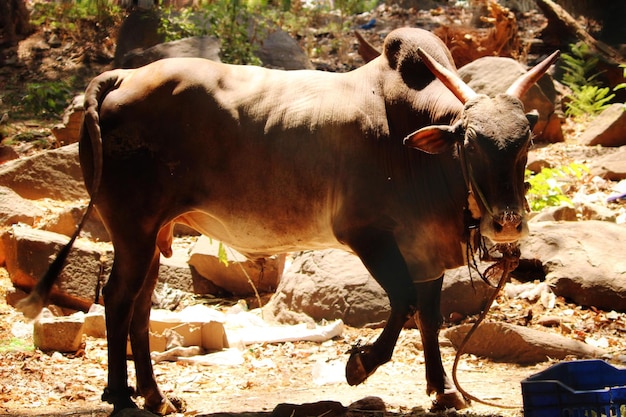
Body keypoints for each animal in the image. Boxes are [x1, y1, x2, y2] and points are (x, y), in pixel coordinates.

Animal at [18, 27, 556, 414]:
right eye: (470, 142)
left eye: (525, 143)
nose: (508, 224)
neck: (417, 144)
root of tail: (121, 78)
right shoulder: (369, 236)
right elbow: (404, 303)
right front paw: (360, 365)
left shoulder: (424, 249)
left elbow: (428, 315)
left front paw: (442, 391)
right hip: (131, 227)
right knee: (116, 299)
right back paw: (121, 397)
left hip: (153, 235)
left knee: (140, 306)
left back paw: (156, 396)